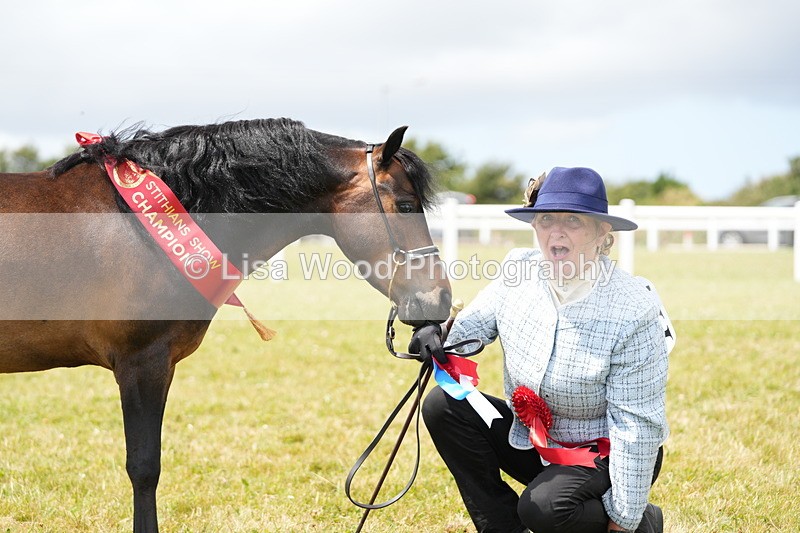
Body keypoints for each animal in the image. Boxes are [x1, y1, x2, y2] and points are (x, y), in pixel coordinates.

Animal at [0, 118, 451, 532]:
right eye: (406, 205)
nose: (440, 299)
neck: (138, 225)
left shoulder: (159, 367)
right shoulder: (141, 363)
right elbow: (144, 468)